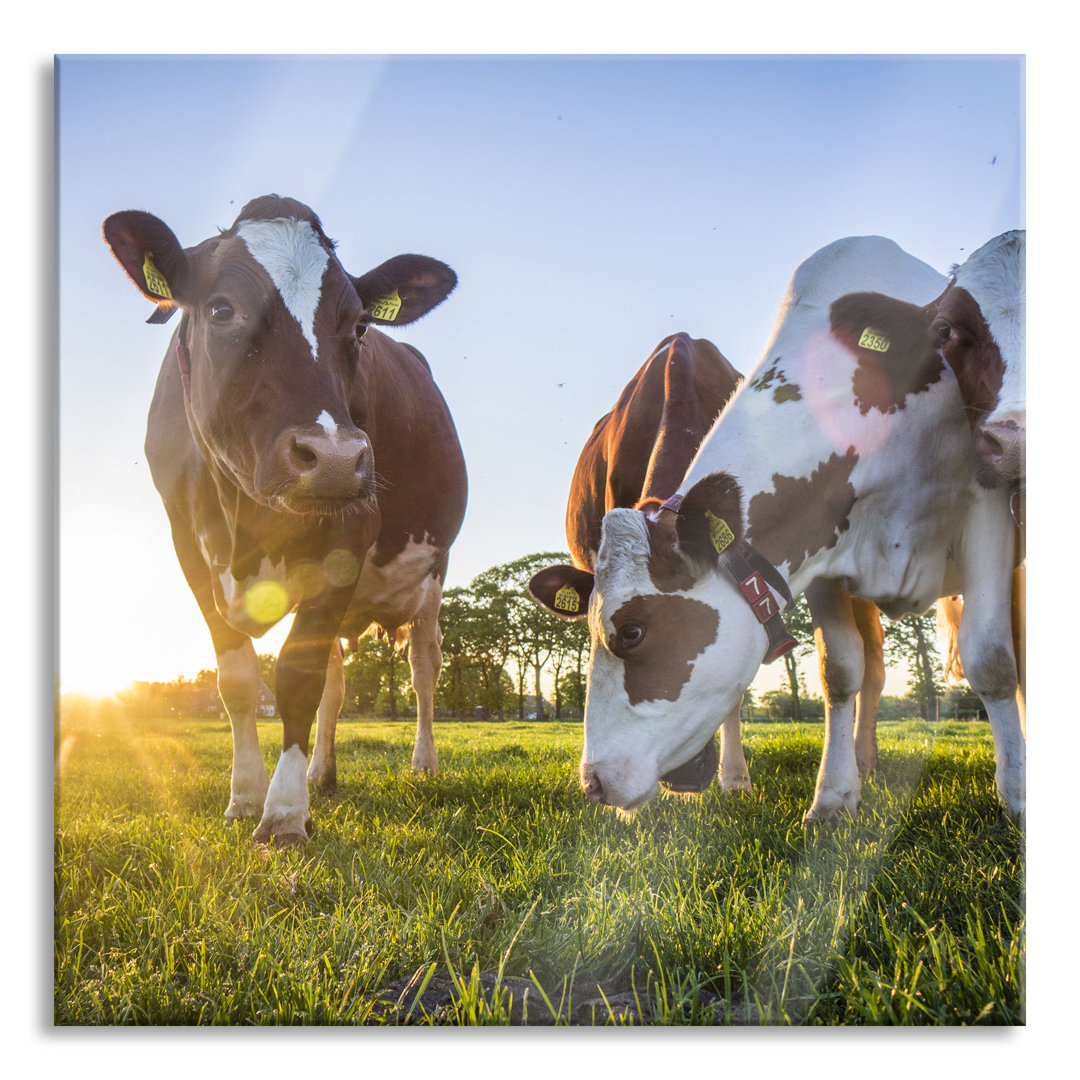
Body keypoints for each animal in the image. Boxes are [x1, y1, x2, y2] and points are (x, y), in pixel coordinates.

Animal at [102, 198, 468, 846]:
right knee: (338, 681)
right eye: (221, 309)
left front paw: (283, 815)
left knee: (424, 668)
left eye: (361, 326)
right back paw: (323, 773)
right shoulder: (187, 547)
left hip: (431, 574)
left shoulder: (350, 533)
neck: (246, 516)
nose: (336, 457)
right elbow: (239, 679)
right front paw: (246, 796)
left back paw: (423, 765)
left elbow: (297, 675)